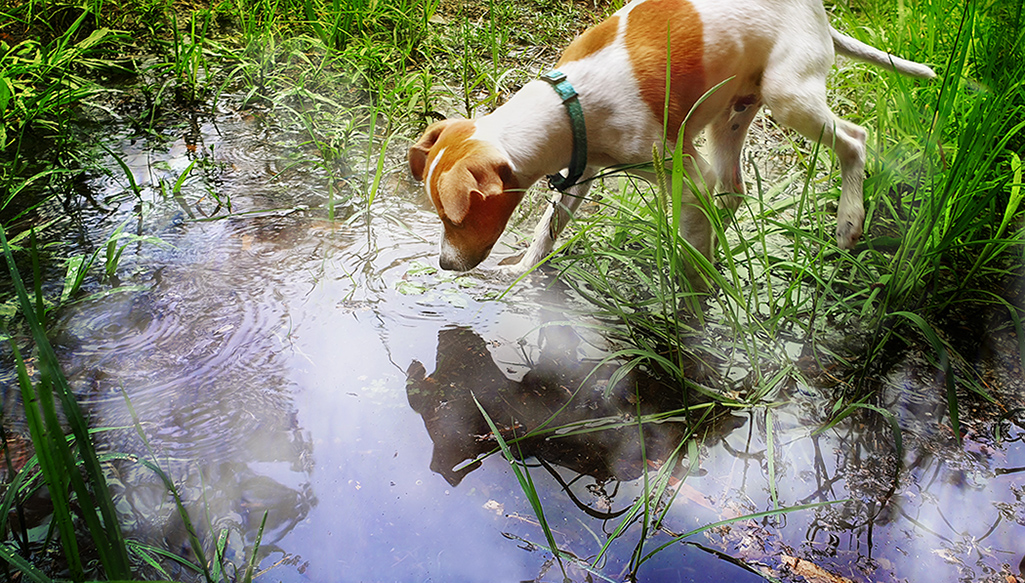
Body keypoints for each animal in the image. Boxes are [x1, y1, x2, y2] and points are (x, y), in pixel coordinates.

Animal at [403, 0, 934, 274]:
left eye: (454, 218)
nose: (445, 264)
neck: (569, 102)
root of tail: (818, 12)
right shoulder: (583, 168)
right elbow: (547, 229)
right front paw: (521, 274)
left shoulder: (683, 172)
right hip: (731, 114)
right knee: (733, 190)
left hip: (789, 97)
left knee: (855, 139)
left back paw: (849, 219)